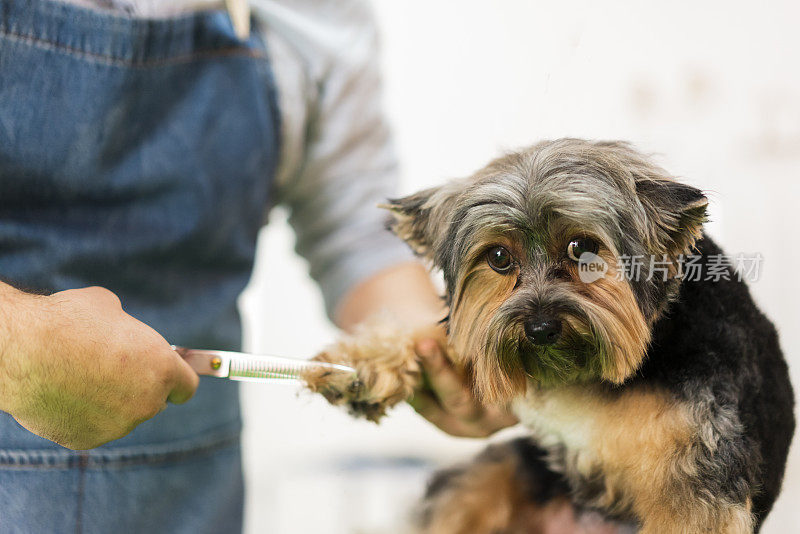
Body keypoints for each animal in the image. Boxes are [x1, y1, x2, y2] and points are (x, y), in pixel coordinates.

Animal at [304, 140, 792, 532]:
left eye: (583, 249)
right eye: (499, 257)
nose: (539, 329)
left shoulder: (698, 483)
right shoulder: (483, 333)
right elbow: (447, 334)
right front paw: (360, 366)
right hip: (504, 470)